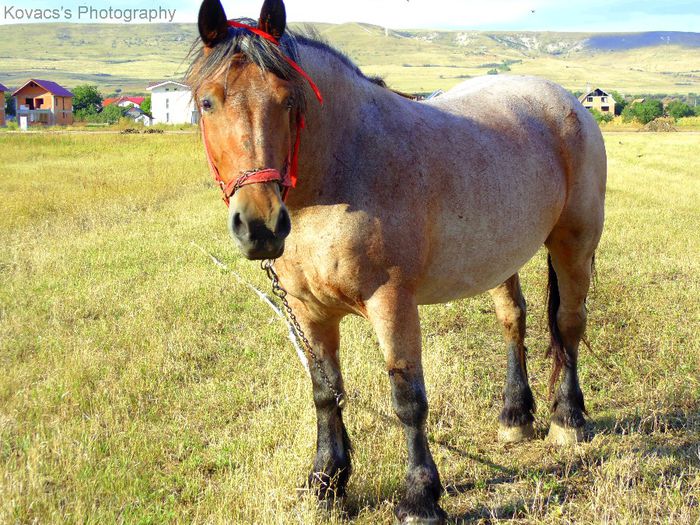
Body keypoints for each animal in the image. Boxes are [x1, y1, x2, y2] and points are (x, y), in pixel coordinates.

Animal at [187, 1, 608, 520]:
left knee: (569, 323)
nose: (260, 226)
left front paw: (420, 498)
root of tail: (568, 102)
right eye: (208, 102)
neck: (344, 169)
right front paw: (326, 483)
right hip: (501, 255)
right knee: (514, 319)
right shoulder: (308, 311)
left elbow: (408, 399)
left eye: (287, 101)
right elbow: (325, 392)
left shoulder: (392, 302)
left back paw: (567, 418)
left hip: (574, 243)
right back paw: (514, 414)